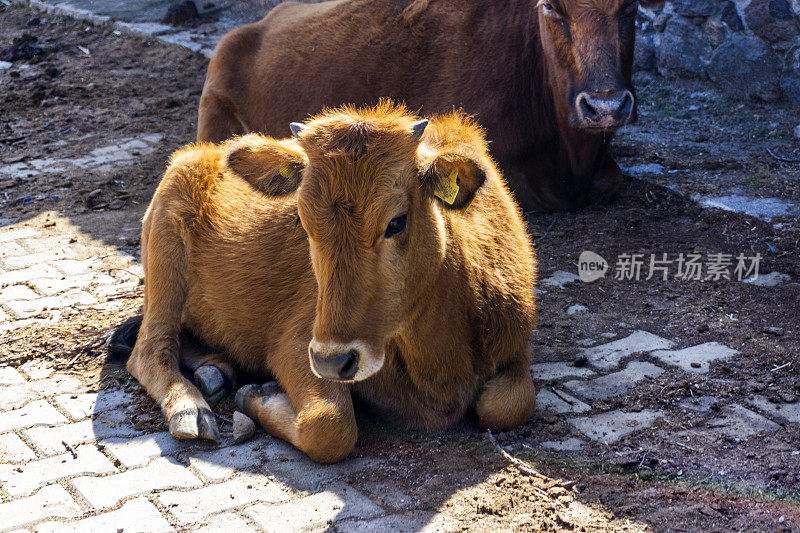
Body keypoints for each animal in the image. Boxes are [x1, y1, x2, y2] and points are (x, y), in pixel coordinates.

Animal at [123, 104, 536, 462]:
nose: (333, 361)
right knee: (149, 349)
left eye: (396, 221)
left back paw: (215, 372)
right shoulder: (297, 343)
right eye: (302, 222)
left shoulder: (515, 345)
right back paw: (191, 410)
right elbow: (330, 427)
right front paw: (257, 396)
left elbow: (509, 404)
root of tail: (199, 154)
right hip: (165, 258)